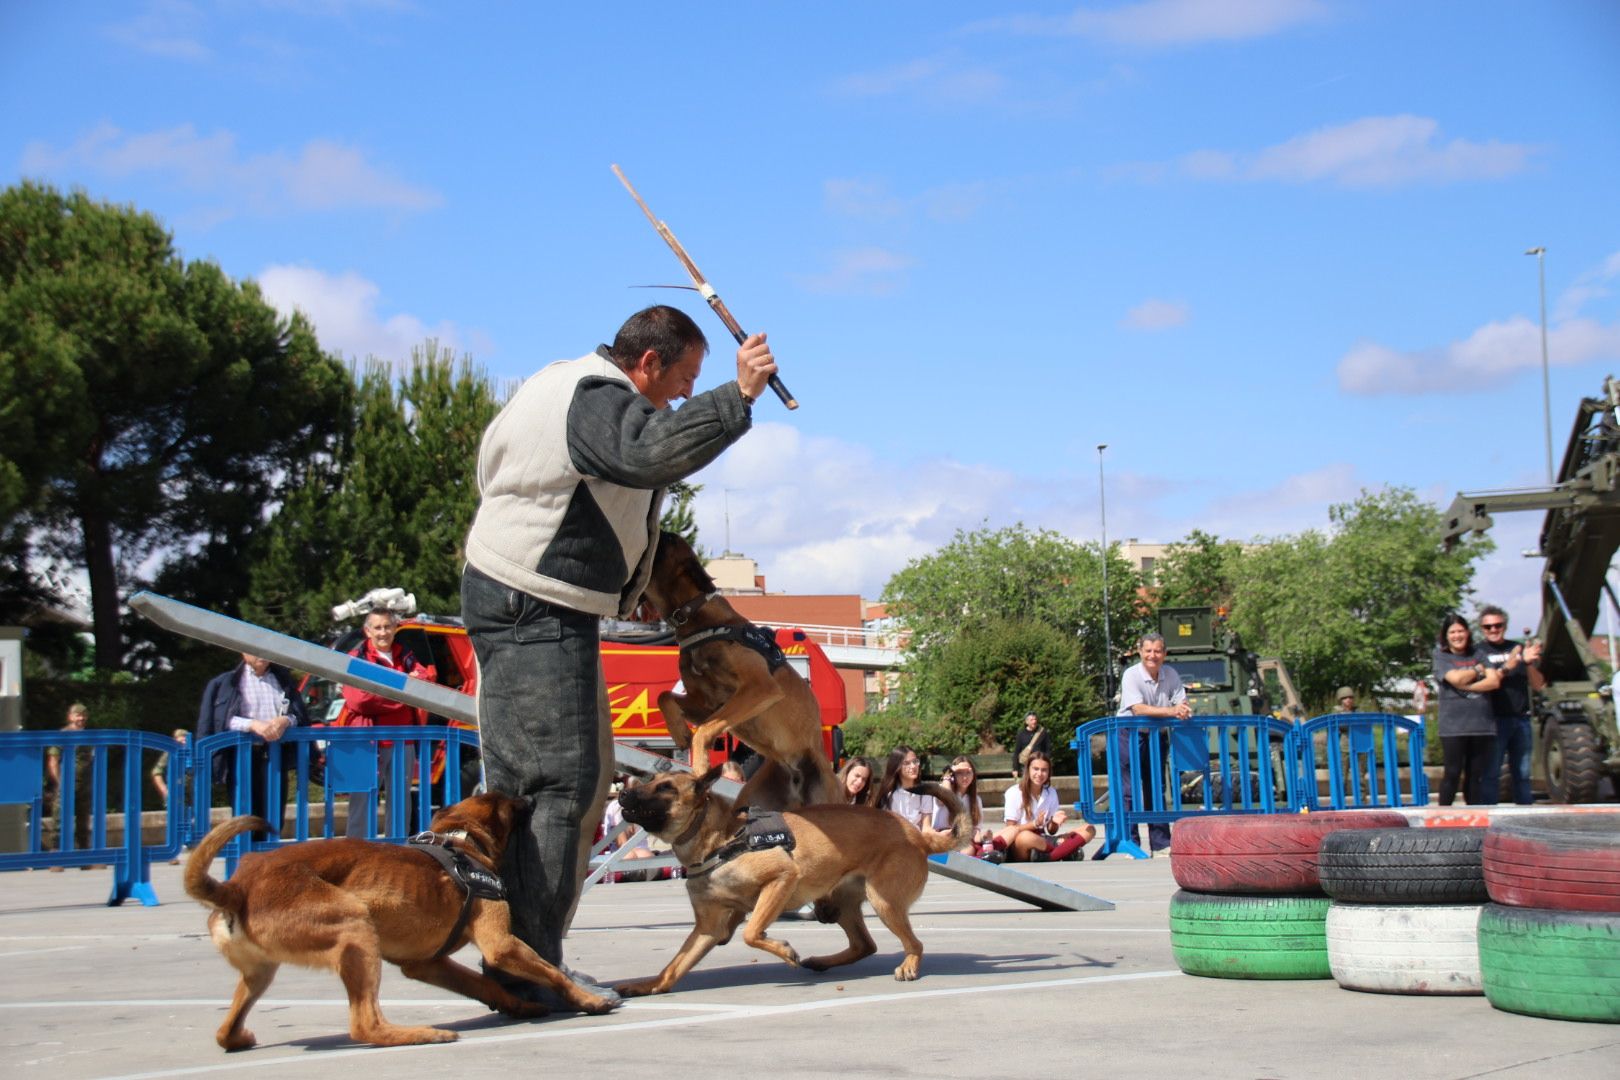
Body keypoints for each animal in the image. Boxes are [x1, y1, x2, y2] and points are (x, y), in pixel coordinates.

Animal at [183, 790, 612, 1049]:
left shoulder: (427, 964)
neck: (460, 843)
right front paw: (588, 999)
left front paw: (518, 1006)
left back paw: (238, 1038)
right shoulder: (501, 945)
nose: (529, 797)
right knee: (365, 1025)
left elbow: (484, 984)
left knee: (224, 1031)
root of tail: (237, 887)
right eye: (512, 802)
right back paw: (423, 1034)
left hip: (260, 972)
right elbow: (551, 972)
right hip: (356, 929)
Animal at [609, 767, 959, 997]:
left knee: (914, 943)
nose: (622, 793)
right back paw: (823, 962)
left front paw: (784, 951)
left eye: (666, 788)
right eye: (650, 782)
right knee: (865, 944)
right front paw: (649, 985)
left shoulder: (781, 879)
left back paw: (909, 964)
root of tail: (919, 836)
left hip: (883, 902)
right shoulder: (708, 928)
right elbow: (674, 967)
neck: (719, 839)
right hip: (839, 906)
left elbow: (751, 932)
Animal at [635, 531, 835, 809]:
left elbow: (704, 731)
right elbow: (665, 696)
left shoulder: (759, 688)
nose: (655, 531)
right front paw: (680, 731)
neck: (696, 616)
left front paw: (700, 767)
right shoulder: (707, 705)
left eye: (669, 540)